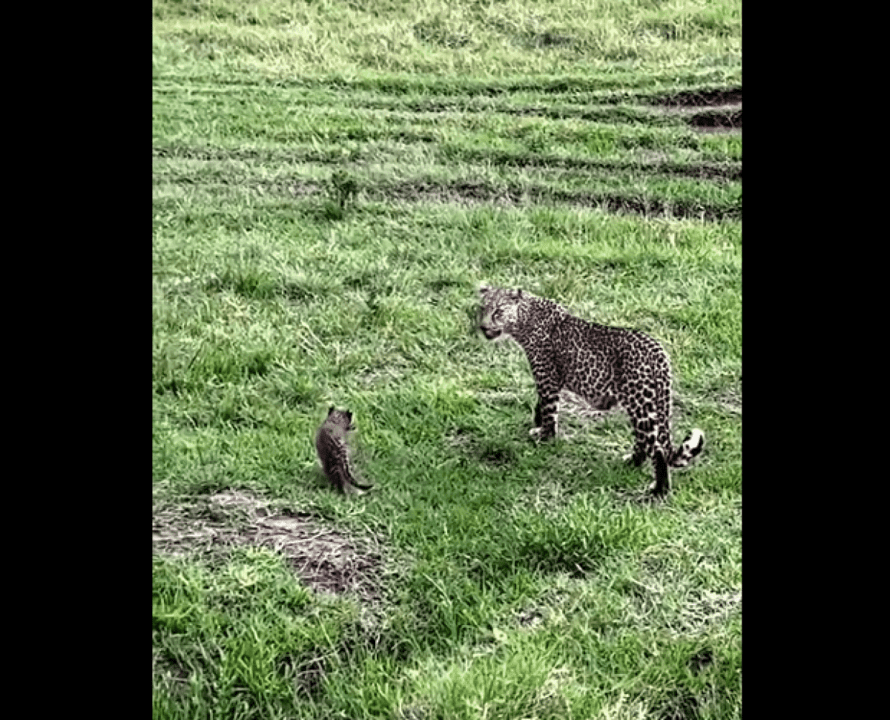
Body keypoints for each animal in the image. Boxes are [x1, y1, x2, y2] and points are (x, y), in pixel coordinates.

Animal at [478, 286, 700, 496]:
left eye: (498, 311)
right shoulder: (551, 379)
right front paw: (538, 425)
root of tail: (658, 353)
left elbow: (548, 408)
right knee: (644, 440)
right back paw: (631, 462)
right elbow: (540, 404)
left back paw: (659, 490)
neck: (525, 318)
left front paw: (545, 436)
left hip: (641, 403)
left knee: (657, 448)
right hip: (642, 404)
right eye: (482, 309)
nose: (483, 326)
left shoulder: (547, 377)